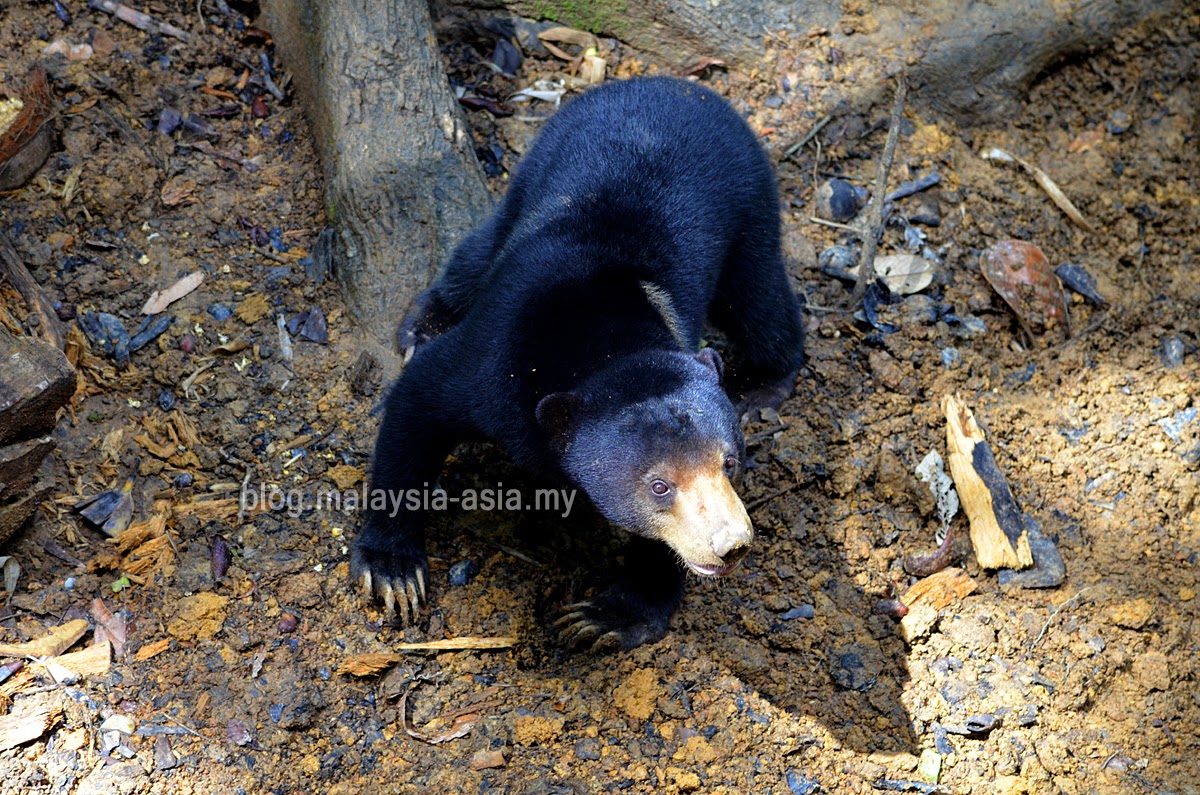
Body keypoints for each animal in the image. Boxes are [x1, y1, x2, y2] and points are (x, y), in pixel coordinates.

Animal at [353, 76, 805, 651]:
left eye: (729, 462)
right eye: (659, 485)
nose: (732, 546)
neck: (599, 342)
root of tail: (673, 84)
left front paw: (603, 617)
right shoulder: (492, 364)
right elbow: (419, 401)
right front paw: (393, 572)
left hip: (750, 200)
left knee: (759, 299)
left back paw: (762, 386)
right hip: (534, 172)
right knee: (477, 253)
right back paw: (426, 320)